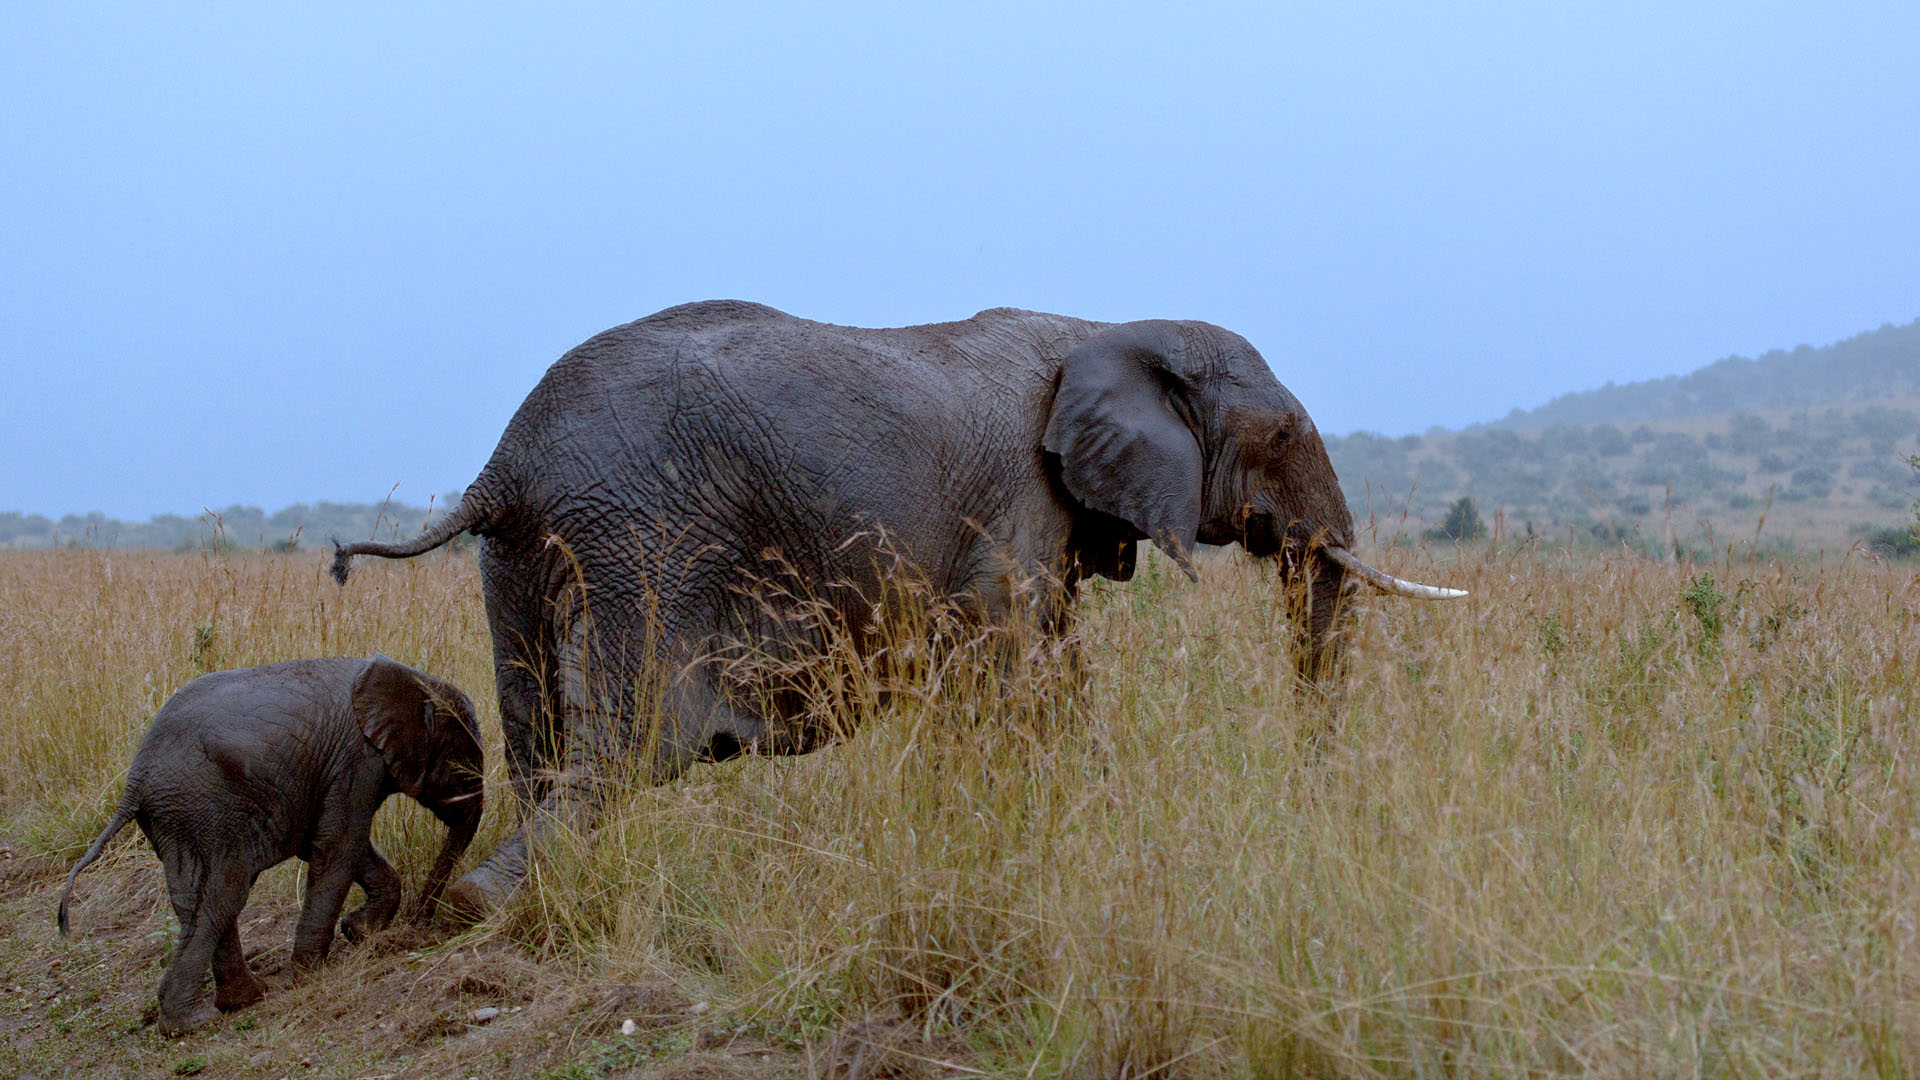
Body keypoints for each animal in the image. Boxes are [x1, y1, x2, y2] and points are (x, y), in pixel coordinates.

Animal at [59, 653, 483, 1030]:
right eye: (464, 765)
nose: (419, 925)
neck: (414, 680)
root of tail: (135, 780)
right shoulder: (356, 761)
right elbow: (339, 846)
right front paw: (313, 973)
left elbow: (330, 844)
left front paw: (358, 932)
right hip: (209, 807)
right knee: (224, 894)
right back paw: (194, 1022)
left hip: (178, 818)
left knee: (195, 899)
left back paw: (242, 998)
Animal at [334, 297, 1466, 910]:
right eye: (1279, 437)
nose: (1321, 801)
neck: (1105, 326)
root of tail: (503, 468)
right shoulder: (1018, 506)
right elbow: (1028, 674)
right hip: (642, 546)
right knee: (626, 750)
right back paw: (474, 909)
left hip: (524, 563)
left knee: (540, 740)